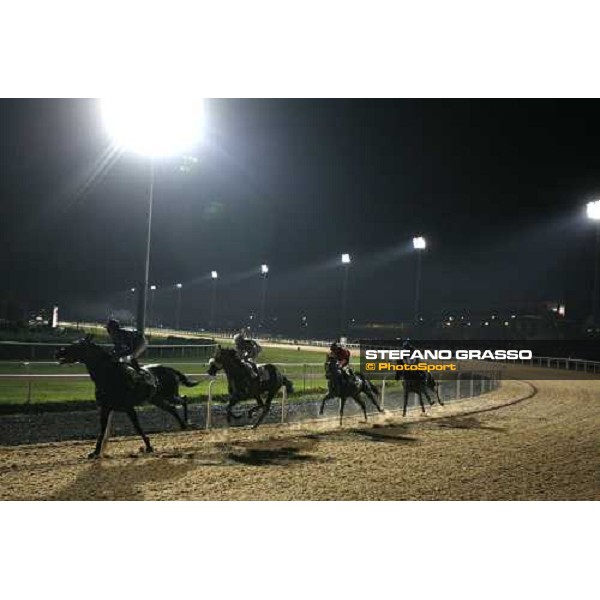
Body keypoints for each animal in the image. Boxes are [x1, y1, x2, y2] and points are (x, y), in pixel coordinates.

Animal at [55, 332, 198, 460]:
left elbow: (137, 427)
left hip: (169, 394)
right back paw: (183, 425)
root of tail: (171, 369)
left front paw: (148, 446)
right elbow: (102, 431)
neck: (108, 375)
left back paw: (187, 422)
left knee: (184, 399)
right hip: (157, 399)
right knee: (172, 408)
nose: (58, 352)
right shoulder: (105, 407)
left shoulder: (129, 407)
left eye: (76, 345)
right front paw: (95, 453)